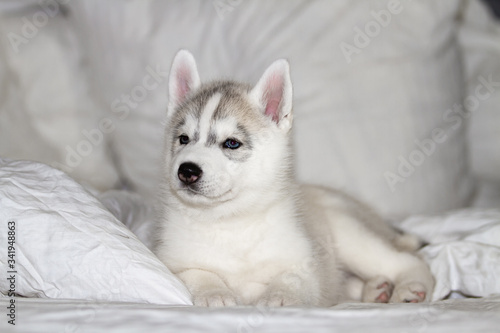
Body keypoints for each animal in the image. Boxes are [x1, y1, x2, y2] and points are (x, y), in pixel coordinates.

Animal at [156, 49, 434, 306]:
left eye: (232, 143)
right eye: (183, 139)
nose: (187, 170)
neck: (230, 222)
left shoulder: (306, 265)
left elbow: (290, 279)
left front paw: (277, 298)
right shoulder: (171, 261)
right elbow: (196, 273)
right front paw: (215, 293)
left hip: (351, 235)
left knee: (410, 261)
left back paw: (410, 287)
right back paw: (376, 290)